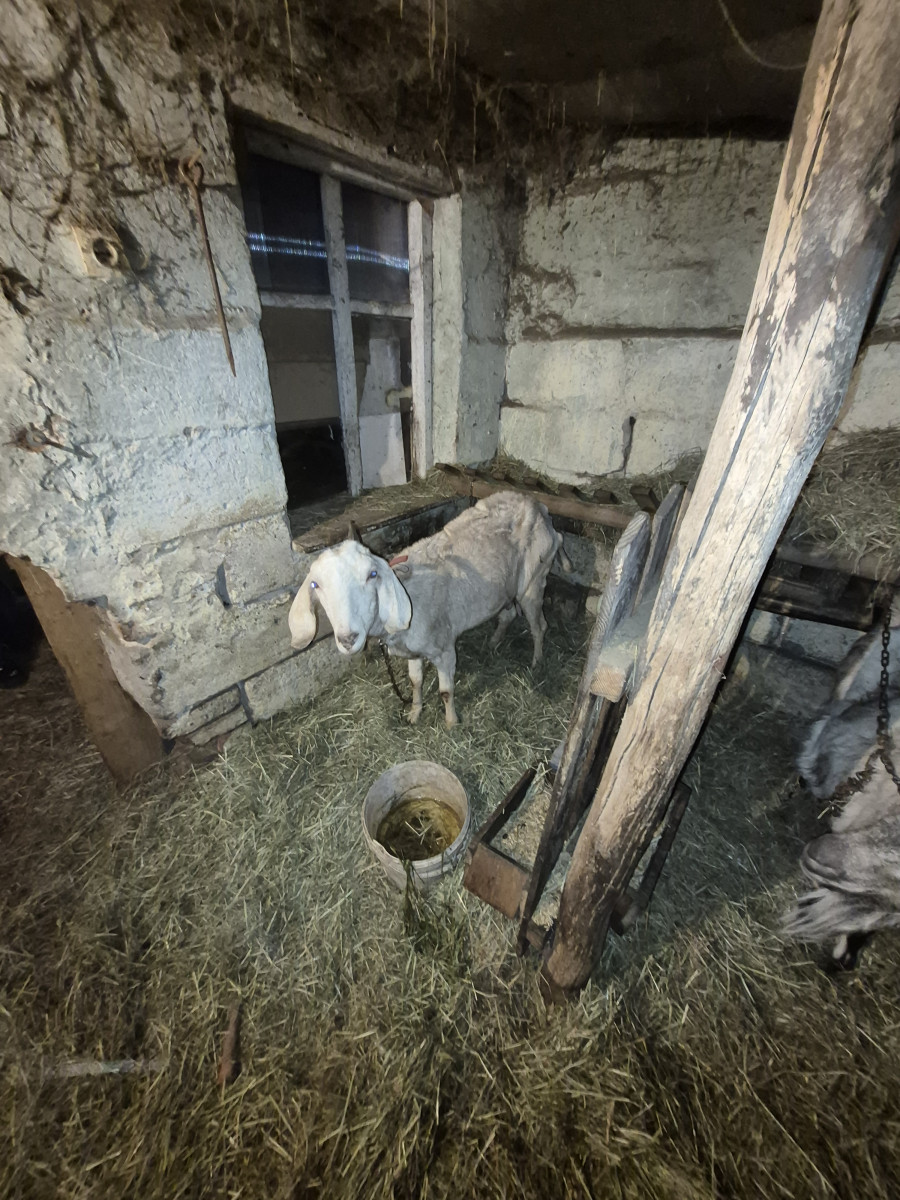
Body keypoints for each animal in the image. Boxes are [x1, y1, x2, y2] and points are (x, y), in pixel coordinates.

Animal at [288, 490, 571, 727]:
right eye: (315, 585)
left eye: (372, 574)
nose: (348, 639)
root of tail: (539, 507)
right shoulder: (413, 651)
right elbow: (416, 682)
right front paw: (415, 713)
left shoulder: (444, 649)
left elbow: (445, 691)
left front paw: (451, 723)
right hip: (505, 589)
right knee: (509, 613)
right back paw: (493, 642)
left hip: (533, 582)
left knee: (539, 626)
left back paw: (536, 662)